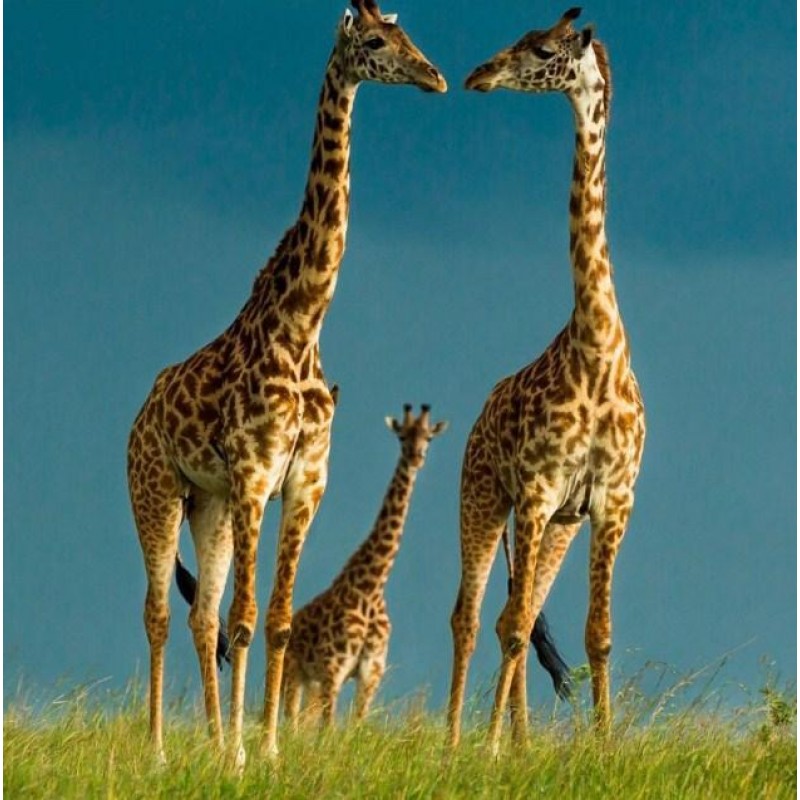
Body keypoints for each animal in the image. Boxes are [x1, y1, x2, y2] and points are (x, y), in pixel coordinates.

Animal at [281, 405, 447, 729]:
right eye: (402, 436)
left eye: (429, 438)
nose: (416, 458)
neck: (371, 587)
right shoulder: (334, 668)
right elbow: (329, 728)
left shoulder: (370, 672)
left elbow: (356, 724)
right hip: (294, 672)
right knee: (290, 720)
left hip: (312, 681)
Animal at [447, 8, 646, 752]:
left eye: (541, 48)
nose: (478, 74)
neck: (598, 349)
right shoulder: (533, 490)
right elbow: (507, 629)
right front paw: (498, 749)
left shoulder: (611, 500)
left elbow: (599, 633)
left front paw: (606, 746)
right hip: (482, 497)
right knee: (475, 616)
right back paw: (462, 740)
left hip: (558, 522)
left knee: (523, 611)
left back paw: (514, 739)